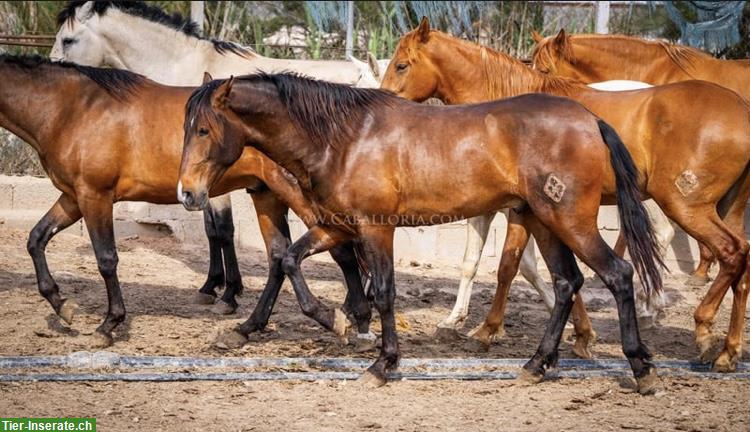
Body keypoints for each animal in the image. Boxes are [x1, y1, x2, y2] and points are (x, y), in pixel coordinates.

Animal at [179, 72, 668, 394]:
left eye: (203, 129)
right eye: (186, 128)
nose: (188, 192)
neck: (345, 138)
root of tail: (590, 120)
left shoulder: (376, 231)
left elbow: (384, 293)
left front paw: (382, 362)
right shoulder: (337, 226)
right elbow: (289, 259)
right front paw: (333, 320)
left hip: (570, 222)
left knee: (619, 275)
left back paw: (641, 370)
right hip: (542, 222)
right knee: (567, 284)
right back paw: (535, 365)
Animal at [382, 18, 750, 372]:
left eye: (401, 65)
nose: (384, 102)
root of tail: (741, 112)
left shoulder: (521, 210)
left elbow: (511, 265)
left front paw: (491, 329)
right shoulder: (521, 210)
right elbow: (496, 264)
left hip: (683, 205)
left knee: (724, 252)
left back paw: (698, 327)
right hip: (725, 208)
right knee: (741, 262)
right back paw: (727, 351)